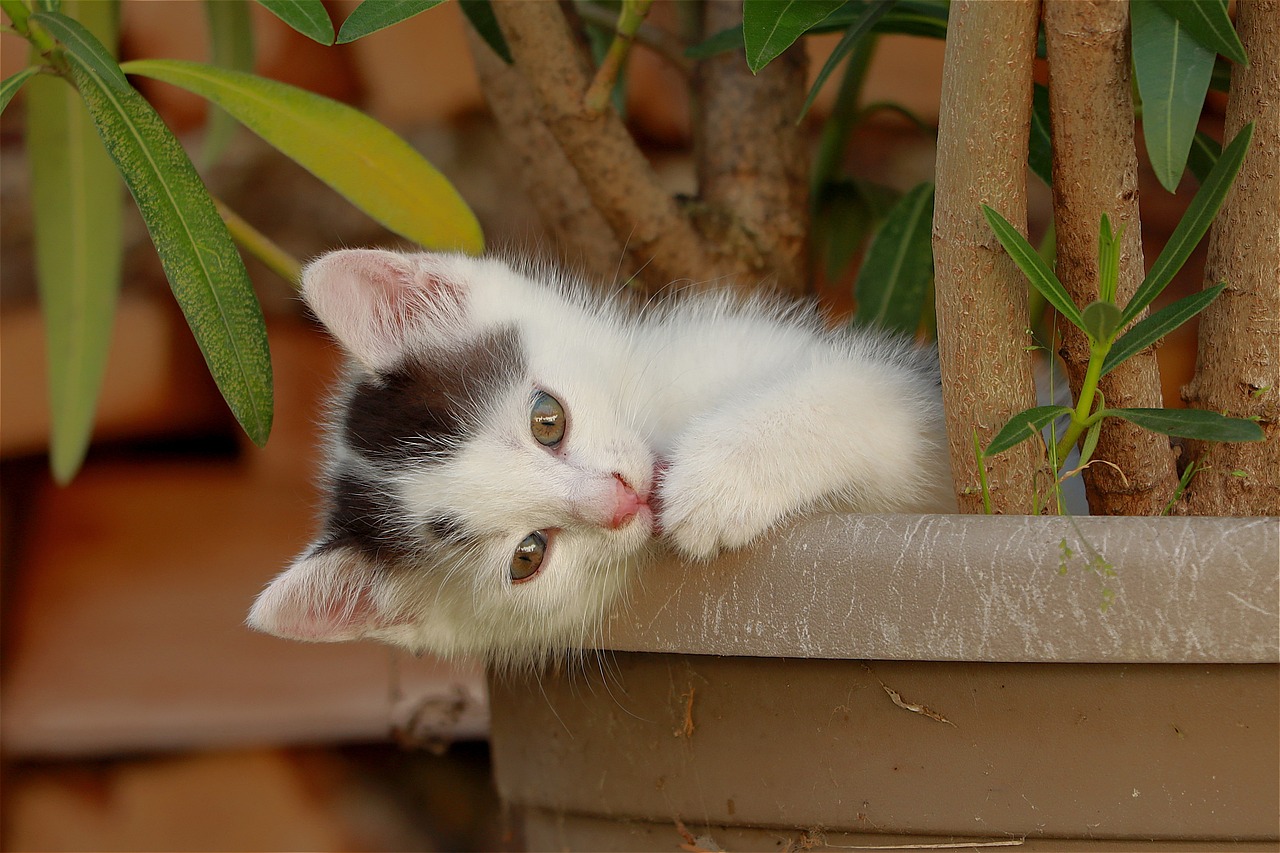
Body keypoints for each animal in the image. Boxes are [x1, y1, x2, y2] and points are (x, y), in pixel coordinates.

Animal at [247, 249, 952, 666]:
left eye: (547, 419)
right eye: (528, 556)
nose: (621, 498)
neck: (669, 422)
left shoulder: (914, 394)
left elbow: (853, 394)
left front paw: (716, 478)